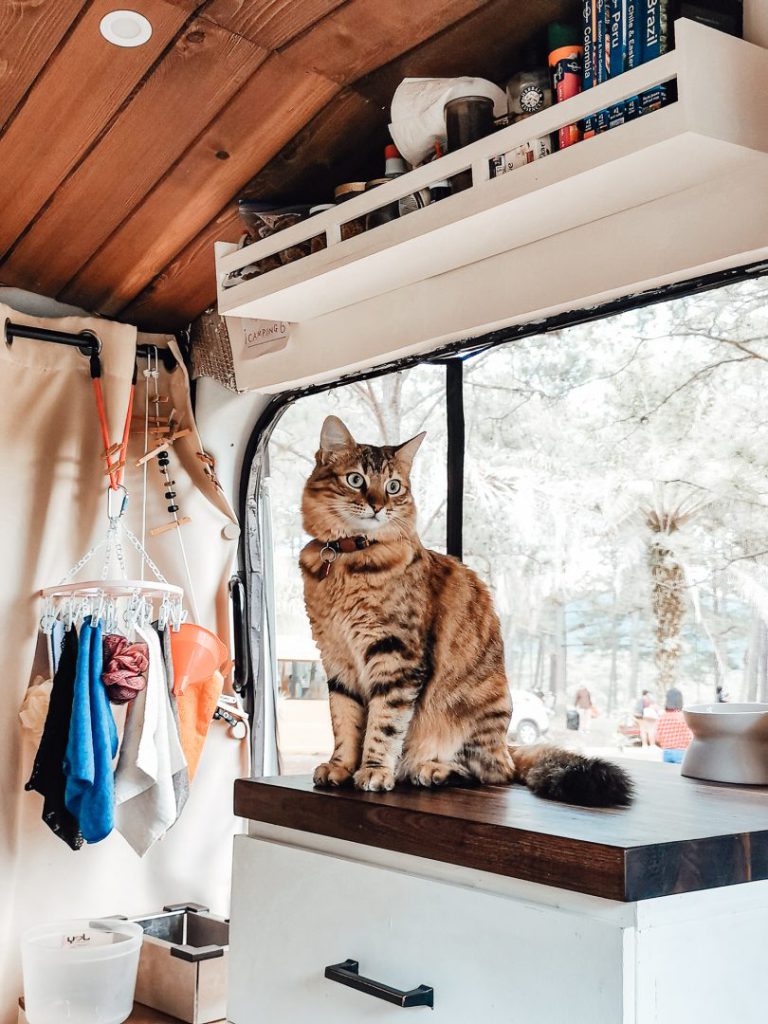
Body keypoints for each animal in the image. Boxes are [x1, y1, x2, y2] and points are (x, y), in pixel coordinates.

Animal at [299, 415, 630, 806]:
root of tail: (506, 744)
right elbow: (345, 723)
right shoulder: (337, 658)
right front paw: (340, 767)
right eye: (356, 480)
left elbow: (384, 724)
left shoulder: (395, 657)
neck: (346, 560)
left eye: (394, 486)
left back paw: (433, 769)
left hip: (474, 712)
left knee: (493, 772)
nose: (379, 506)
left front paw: (375, 770)